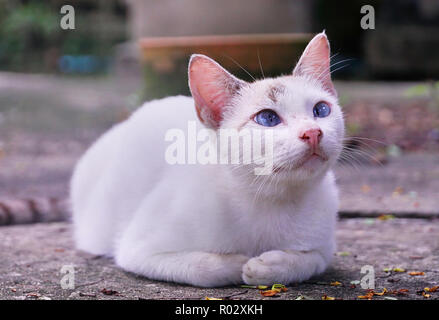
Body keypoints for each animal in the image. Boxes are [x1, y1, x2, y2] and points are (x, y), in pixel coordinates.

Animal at [71, 33, 348, 288]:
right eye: (267, 118)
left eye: (321, 110)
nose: (312, 132)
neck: (269, 200)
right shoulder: (138, 249)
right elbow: (203, 268)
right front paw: (238, 263)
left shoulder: (324, 246)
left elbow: (311, 260)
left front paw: (269, 266)